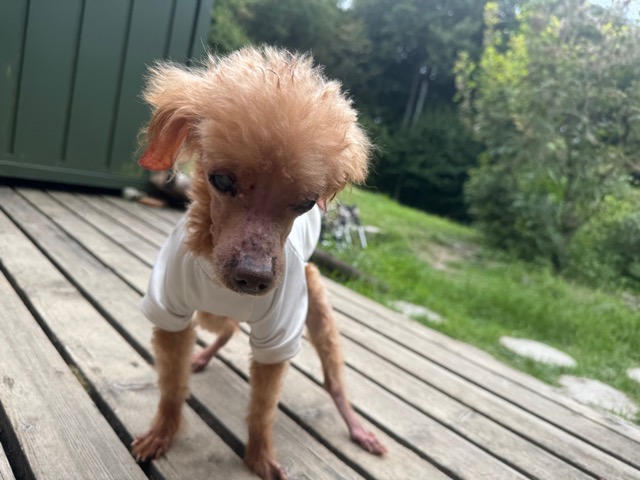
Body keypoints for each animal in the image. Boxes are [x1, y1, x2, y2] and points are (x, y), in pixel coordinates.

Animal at [131, 46, 386, 479]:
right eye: (220, 180)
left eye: (306, 202)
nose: (253, 278)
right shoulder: (170, 313)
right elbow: (171, 387)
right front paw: (162, 434)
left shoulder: (278, 336)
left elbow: (263, 409)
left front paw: (260, 456)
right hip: (210, 313)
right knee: (228, 328)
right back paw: (202, 356)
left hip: (317, 310)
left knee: (335, 382)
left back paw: (357, 428)